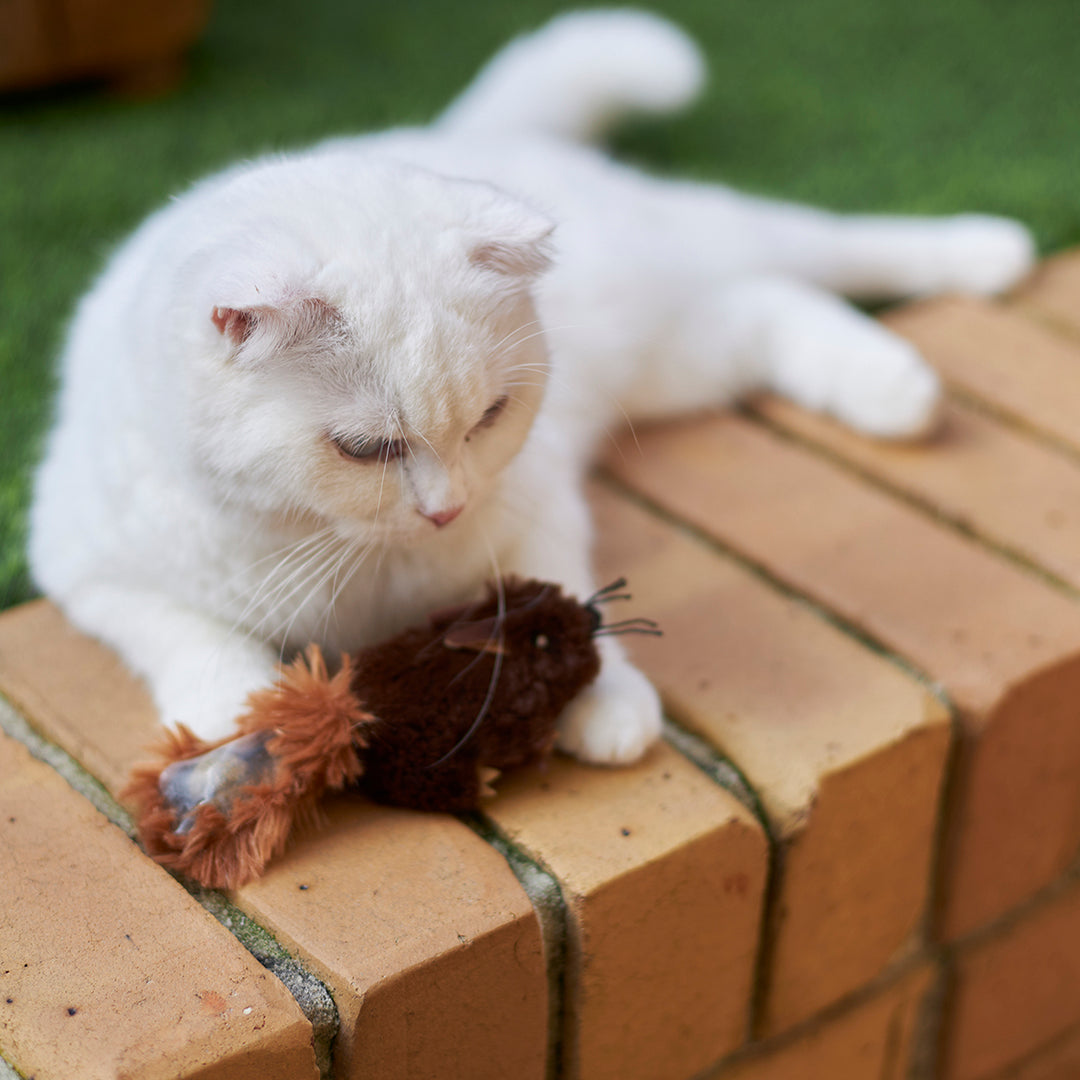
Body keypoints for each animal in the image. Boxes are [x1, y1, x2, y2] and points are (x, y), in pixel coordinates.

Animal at [31, 12, 1028, 764]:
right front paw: (241, 714)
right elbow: (187, 633)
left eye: (488, 420)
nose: (446, 511)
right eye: (365, 449)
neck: (352, 562)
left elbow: (565, 594)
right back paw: (894, 386)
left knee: (825, 244)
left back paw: (982, 258)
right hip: (680, 354)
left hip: (705, 252)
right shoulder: (84, 566)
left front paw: (608, 703)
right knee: (771, 304)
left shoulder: (538, 499)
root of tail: (457, 136)